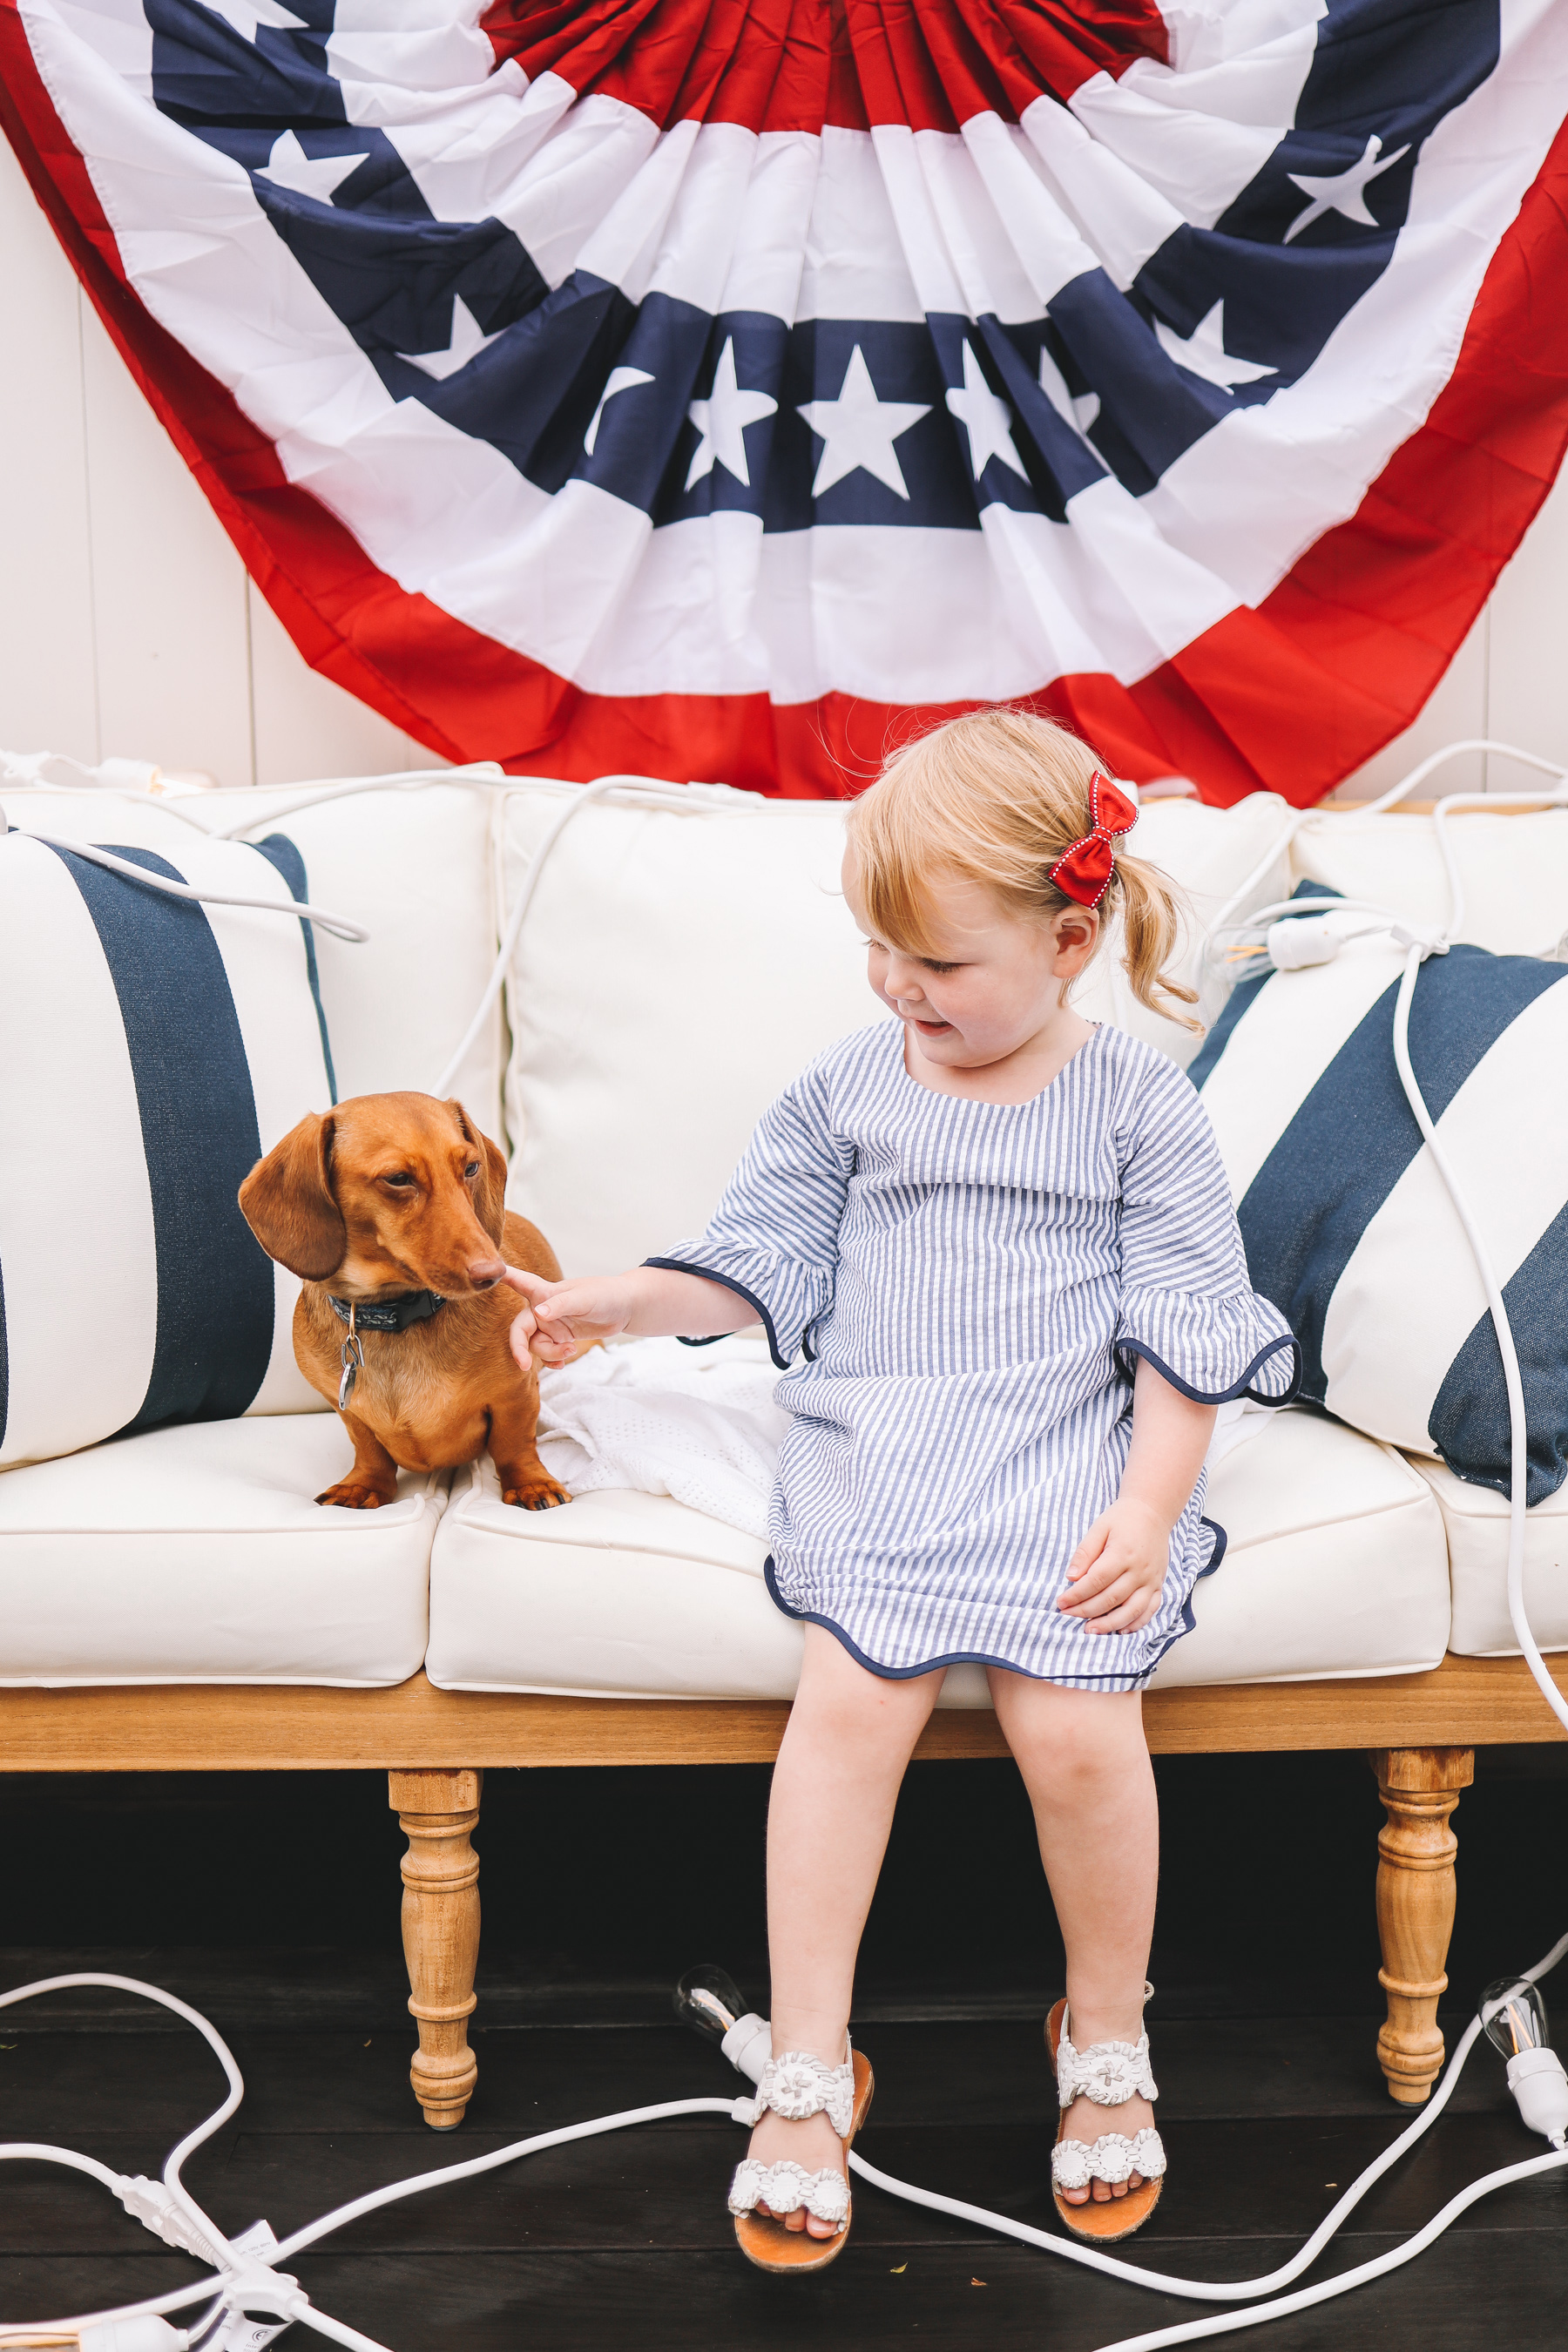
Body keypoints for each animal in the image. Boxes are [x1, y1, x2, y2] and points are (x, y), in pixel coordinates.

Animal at [240, 1096, 571, 1514]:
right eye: (398, 1178)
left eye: (471, 1167)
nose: (494, 1273)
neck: (396, 1314)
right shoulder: (345, 1409)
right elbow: (369, 1451)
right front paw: (363, 1485)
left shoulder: (517, 1394)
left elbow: (514, 1443)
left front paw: (530, 1483)